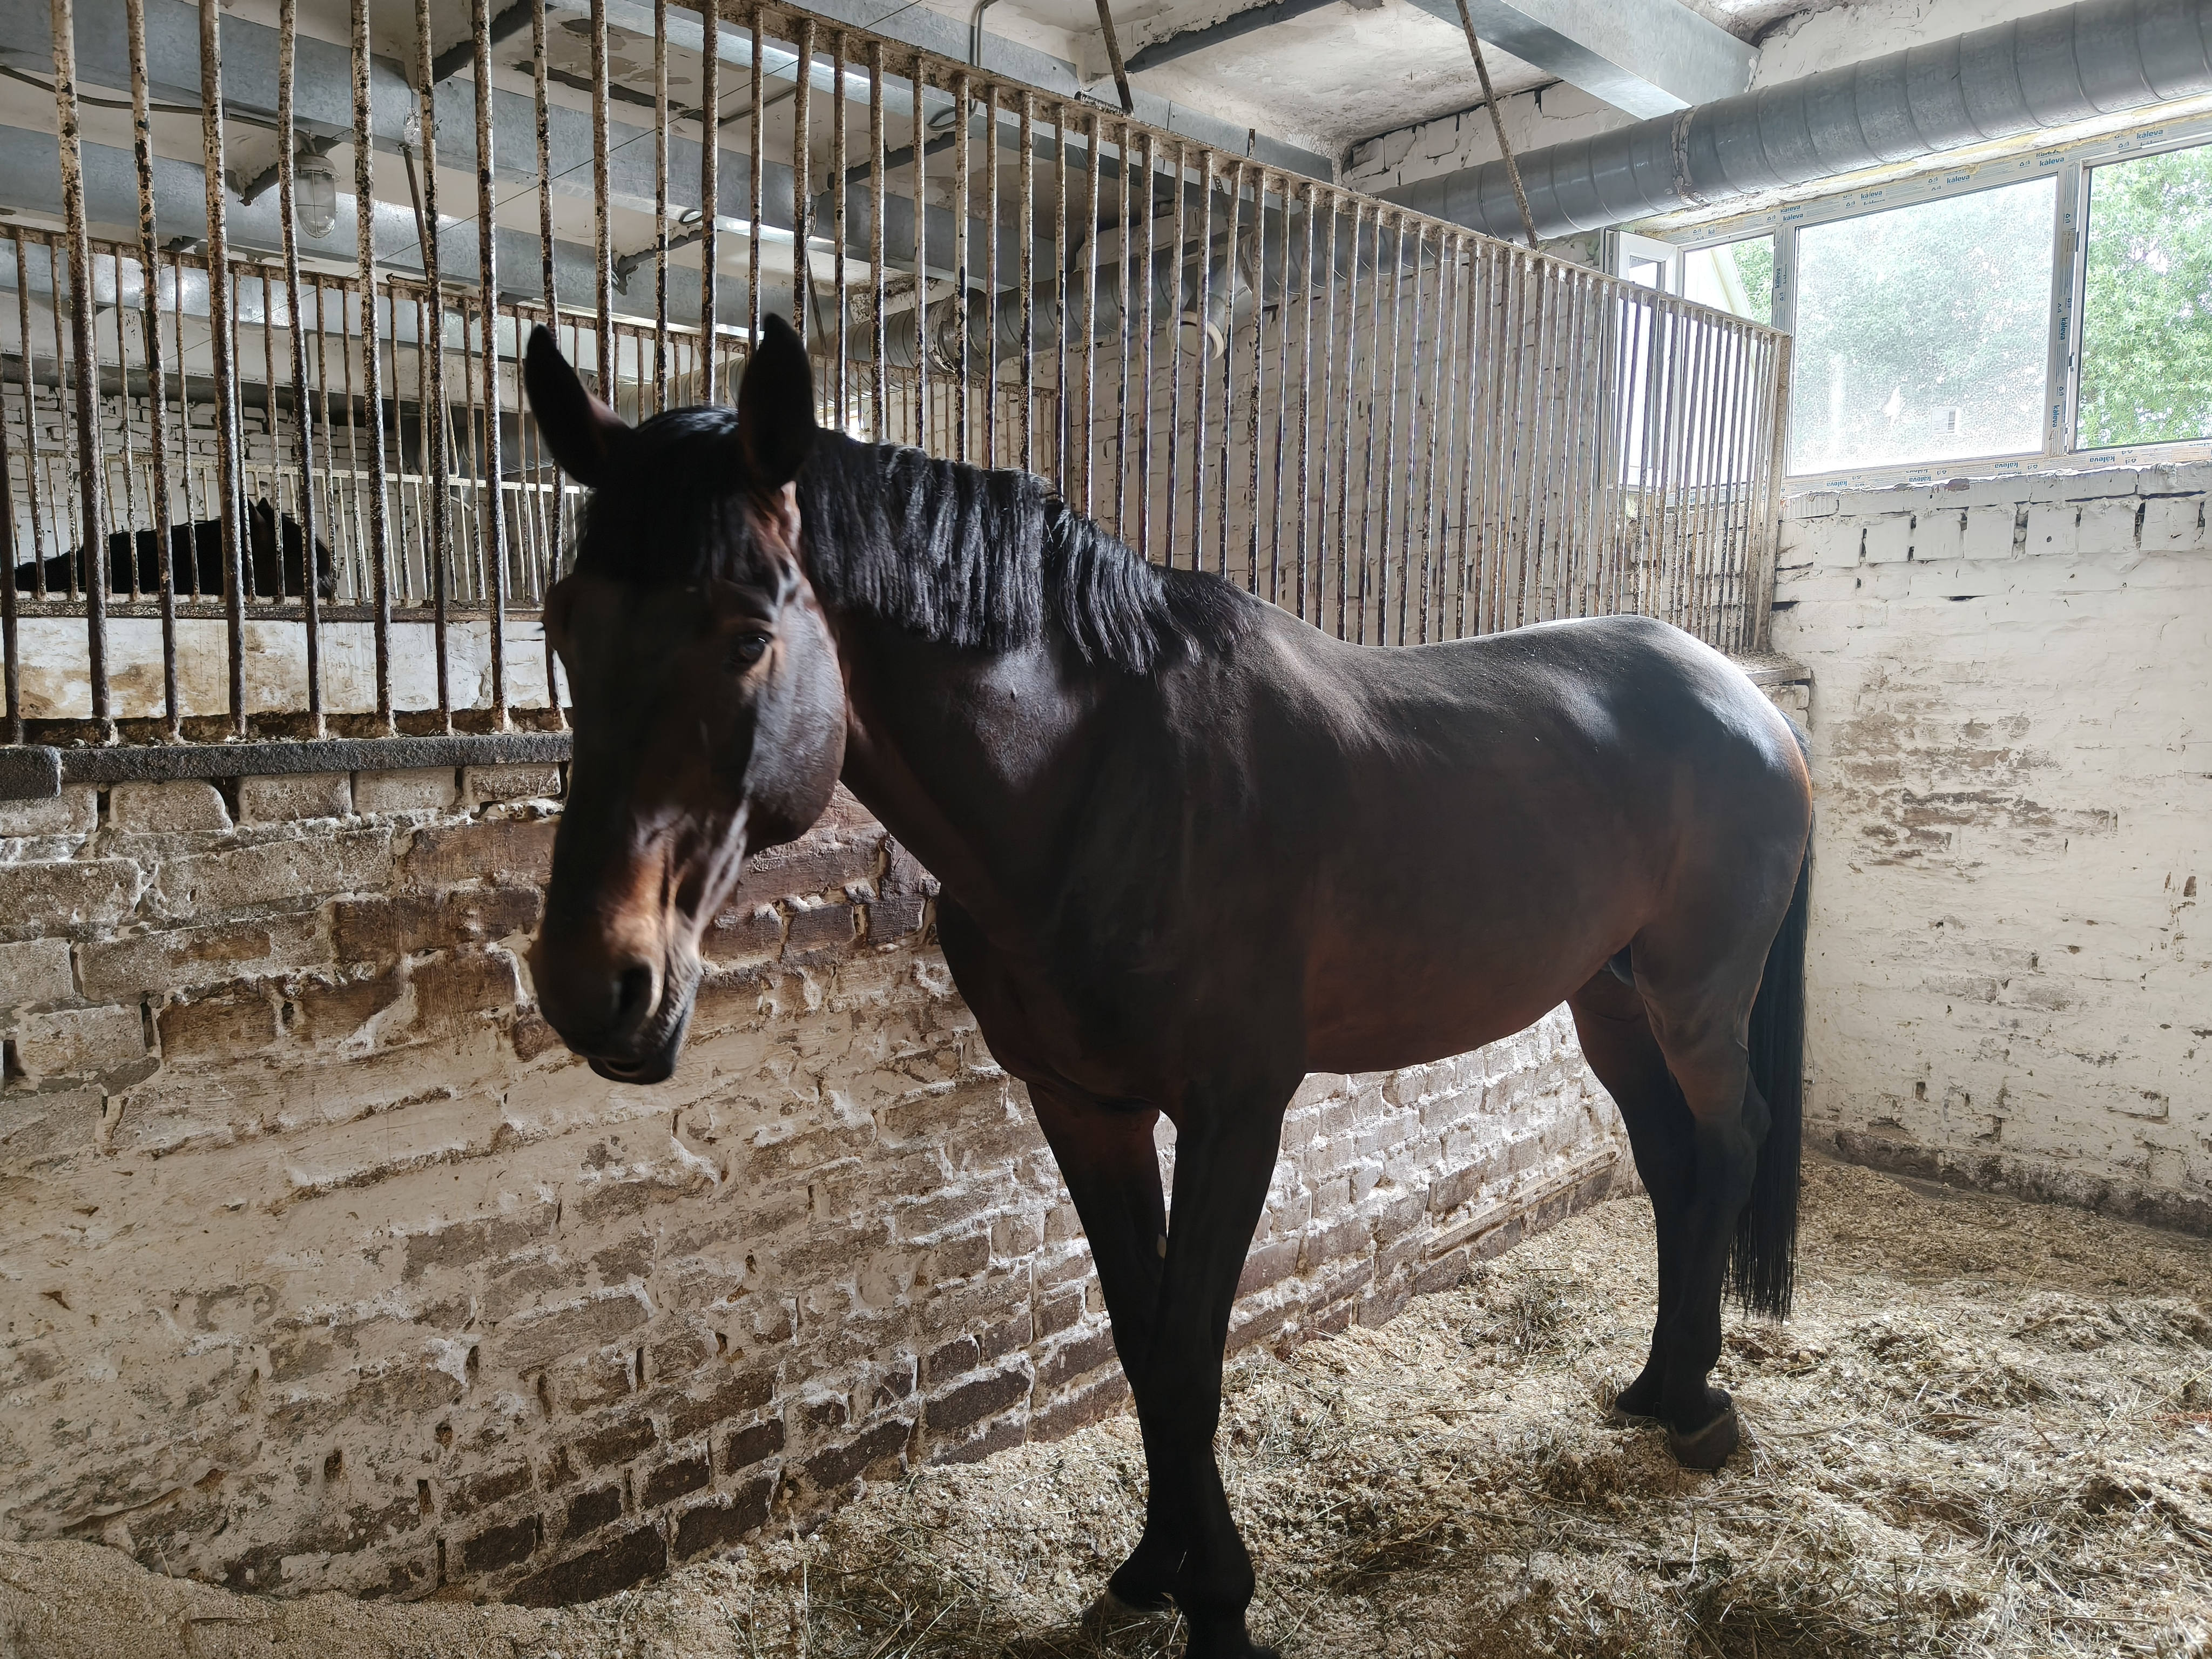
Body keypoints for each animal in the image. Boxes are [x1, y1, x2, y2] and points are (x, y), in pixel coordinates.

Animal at [521, 316, 1812, 1659]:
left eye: (744, 633)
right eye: (564, 622)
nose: (592, 985)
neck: (1094, 783)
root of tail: (1742, 694)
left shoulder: (1236, 1113)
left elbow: (1191, 1354)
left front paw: (1222, 1604)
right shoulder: (1083, 1107)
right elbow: (1139, 1342)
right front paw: (1151, 1566)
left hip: (1693, 1000)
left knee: (1729, 1142)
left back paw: (1701, 1409)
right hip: (1607, 1001)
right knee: (1670, 1163)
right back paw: (1654, 1386)